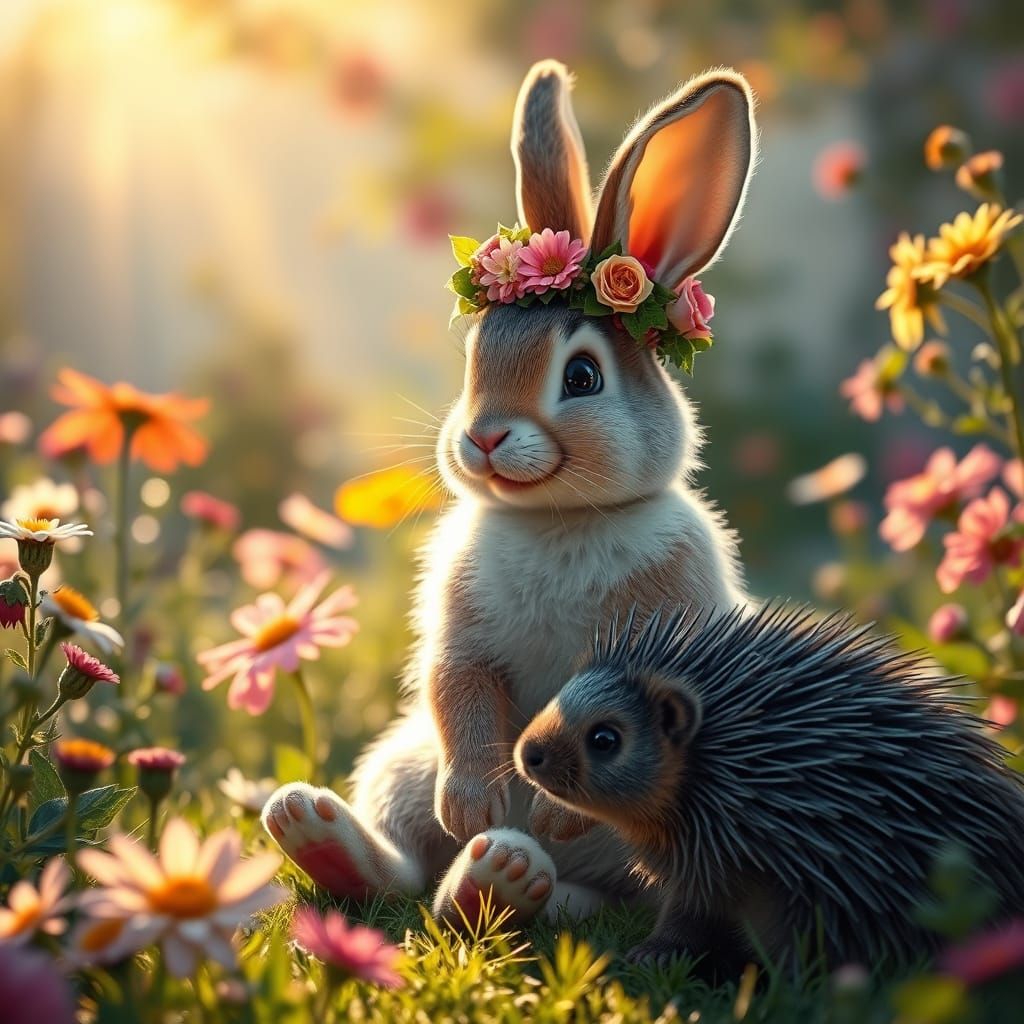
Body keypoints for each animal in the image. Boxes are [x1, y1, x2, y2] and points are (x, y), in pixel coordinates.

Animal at [263, 59, 758, 925]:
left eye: (583, 376)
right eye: (475, 360)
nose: (483, 437)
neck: (561, 518)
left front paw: (548, 810)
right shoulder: (461, 643)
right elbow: (454, 687)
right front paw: (471, 805)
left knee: (588, 901)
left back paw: (513, 870)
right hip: (402, 762)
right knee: (407, 876)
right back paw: (334, 830)